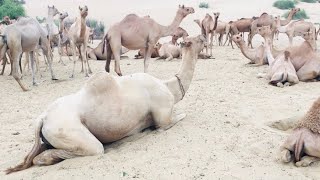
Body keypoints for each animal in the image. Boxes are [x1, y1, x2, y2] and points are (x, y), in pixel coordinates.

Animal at [5, 34, 208, 174]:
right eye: (197, 39)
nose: (205, 38)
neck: (169, 86)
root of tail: (43, 118)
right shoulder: (163, 119)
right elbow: (177, 117)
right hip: (68, 131)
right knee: (88, 149)